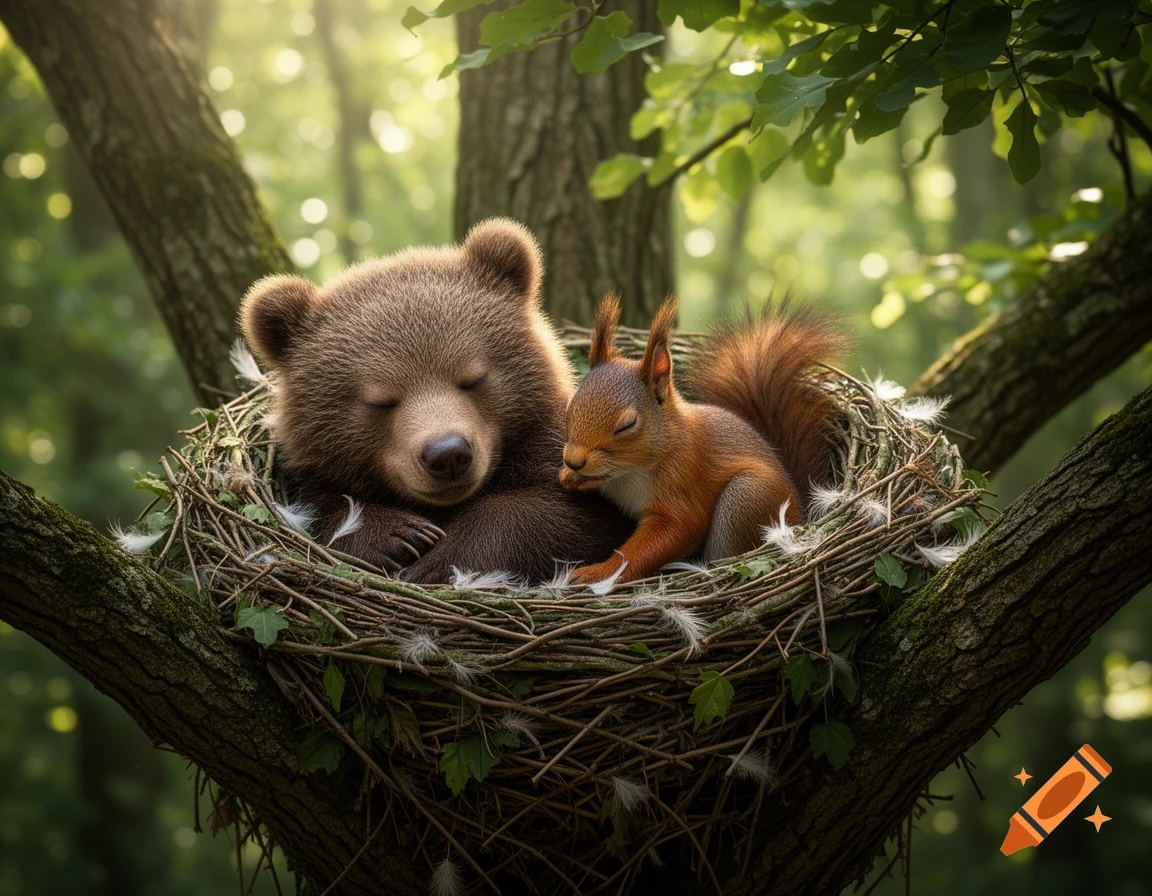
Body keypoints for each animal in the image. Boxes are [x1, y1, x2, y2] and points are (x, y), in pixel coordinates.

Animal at [239, 218, 633, 583]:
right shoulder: (312, 476)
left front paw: (435, 563)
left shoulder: (554, 449)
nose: (447, 454)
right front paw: (401, 536)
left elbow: (565, 516)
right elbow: (325, 509)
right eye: (380, 401)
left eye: (473, 378)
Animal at [558, 294, 846, 586]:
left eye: (627, 424)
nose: (573, 461)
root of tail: (801, 512)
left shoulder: (684, 478)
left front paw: (598, 573)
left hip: (746, 498)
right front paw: (570, 477)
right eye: (570, 406)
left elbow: (674, 532)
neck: (631, 471)